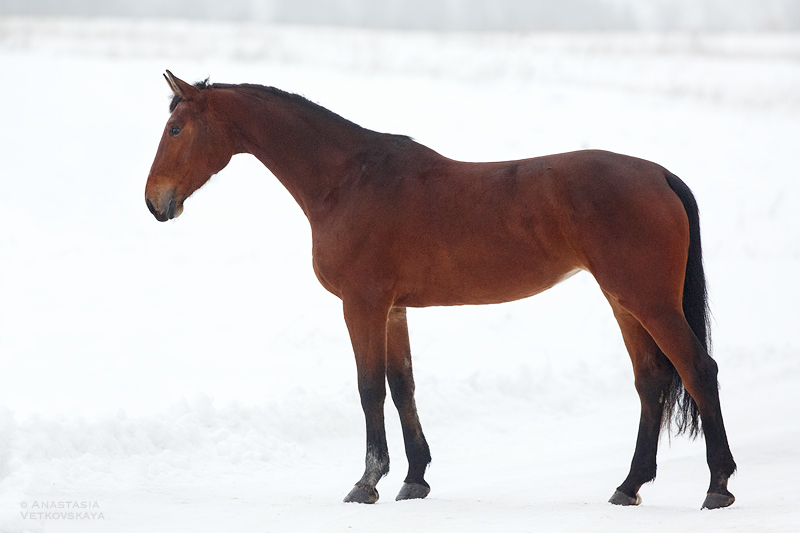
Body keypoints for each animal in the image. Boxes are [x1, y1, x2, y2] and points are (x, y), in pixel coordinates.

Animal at [145, 70, 736, 508]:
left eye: (175, 129)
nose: (155, 202)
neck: (349, 180)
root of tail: (659, 175)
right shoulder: (393, 310)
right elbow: (402, 385)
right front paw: (415, 478)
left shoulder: (363, 306)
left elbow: (369, 388)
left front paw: (367, 482)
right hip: (624, 302)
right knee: (651, 380)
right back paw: (629, 485)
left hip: (649, 302)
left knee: (697, 369)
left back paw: (718, 486)